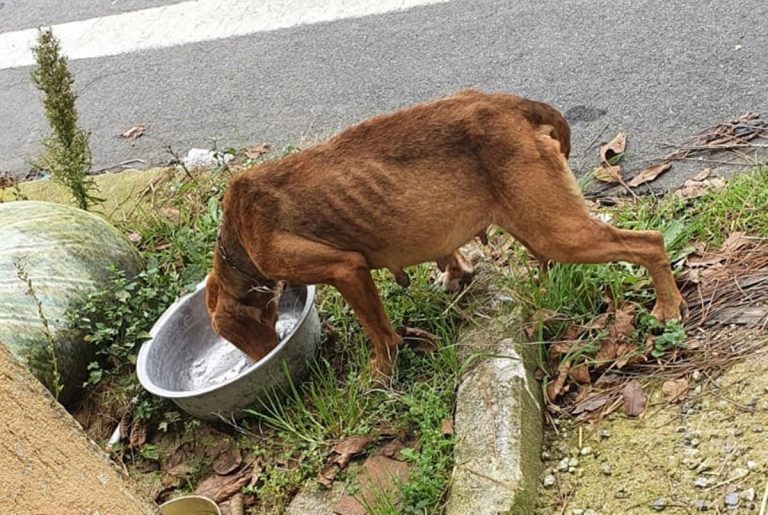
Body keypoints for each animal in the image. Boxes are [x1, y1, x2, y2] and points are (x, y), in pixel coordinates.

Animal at [206, 89, 684, 378]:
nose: (261, 362)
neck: (237, 238)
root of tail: (511, 104)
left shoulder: (347, 270)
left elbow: (378, 332)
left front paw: (382, 372)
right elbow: (450, 255)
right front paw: (456, 275)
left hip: (558, 234)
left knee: (649, 242)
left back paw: (668, 305)